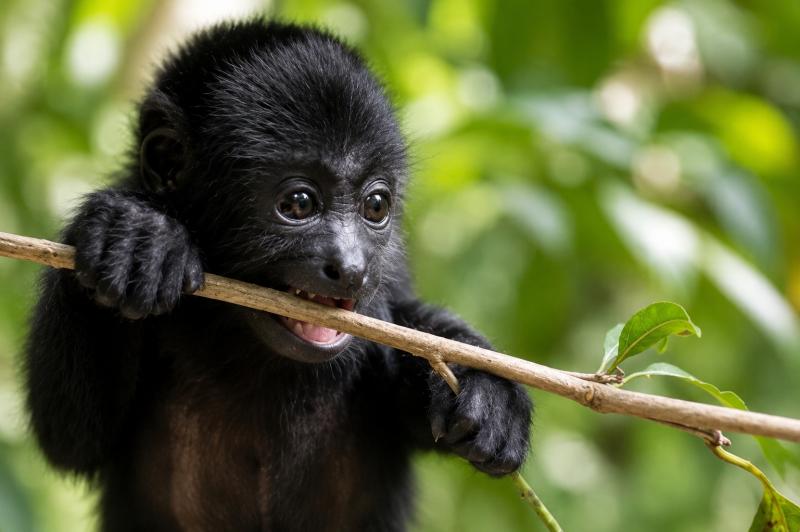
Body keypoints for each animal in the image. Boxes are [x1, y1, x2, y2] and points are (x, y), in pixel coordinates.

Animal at [24, 20, 532, 531]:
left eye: (375, 205)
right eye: (299, 203)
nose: (351, 268)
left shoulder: (390, 280)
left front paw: (488, 388)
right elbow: (72, 439)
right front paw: (131, 236)